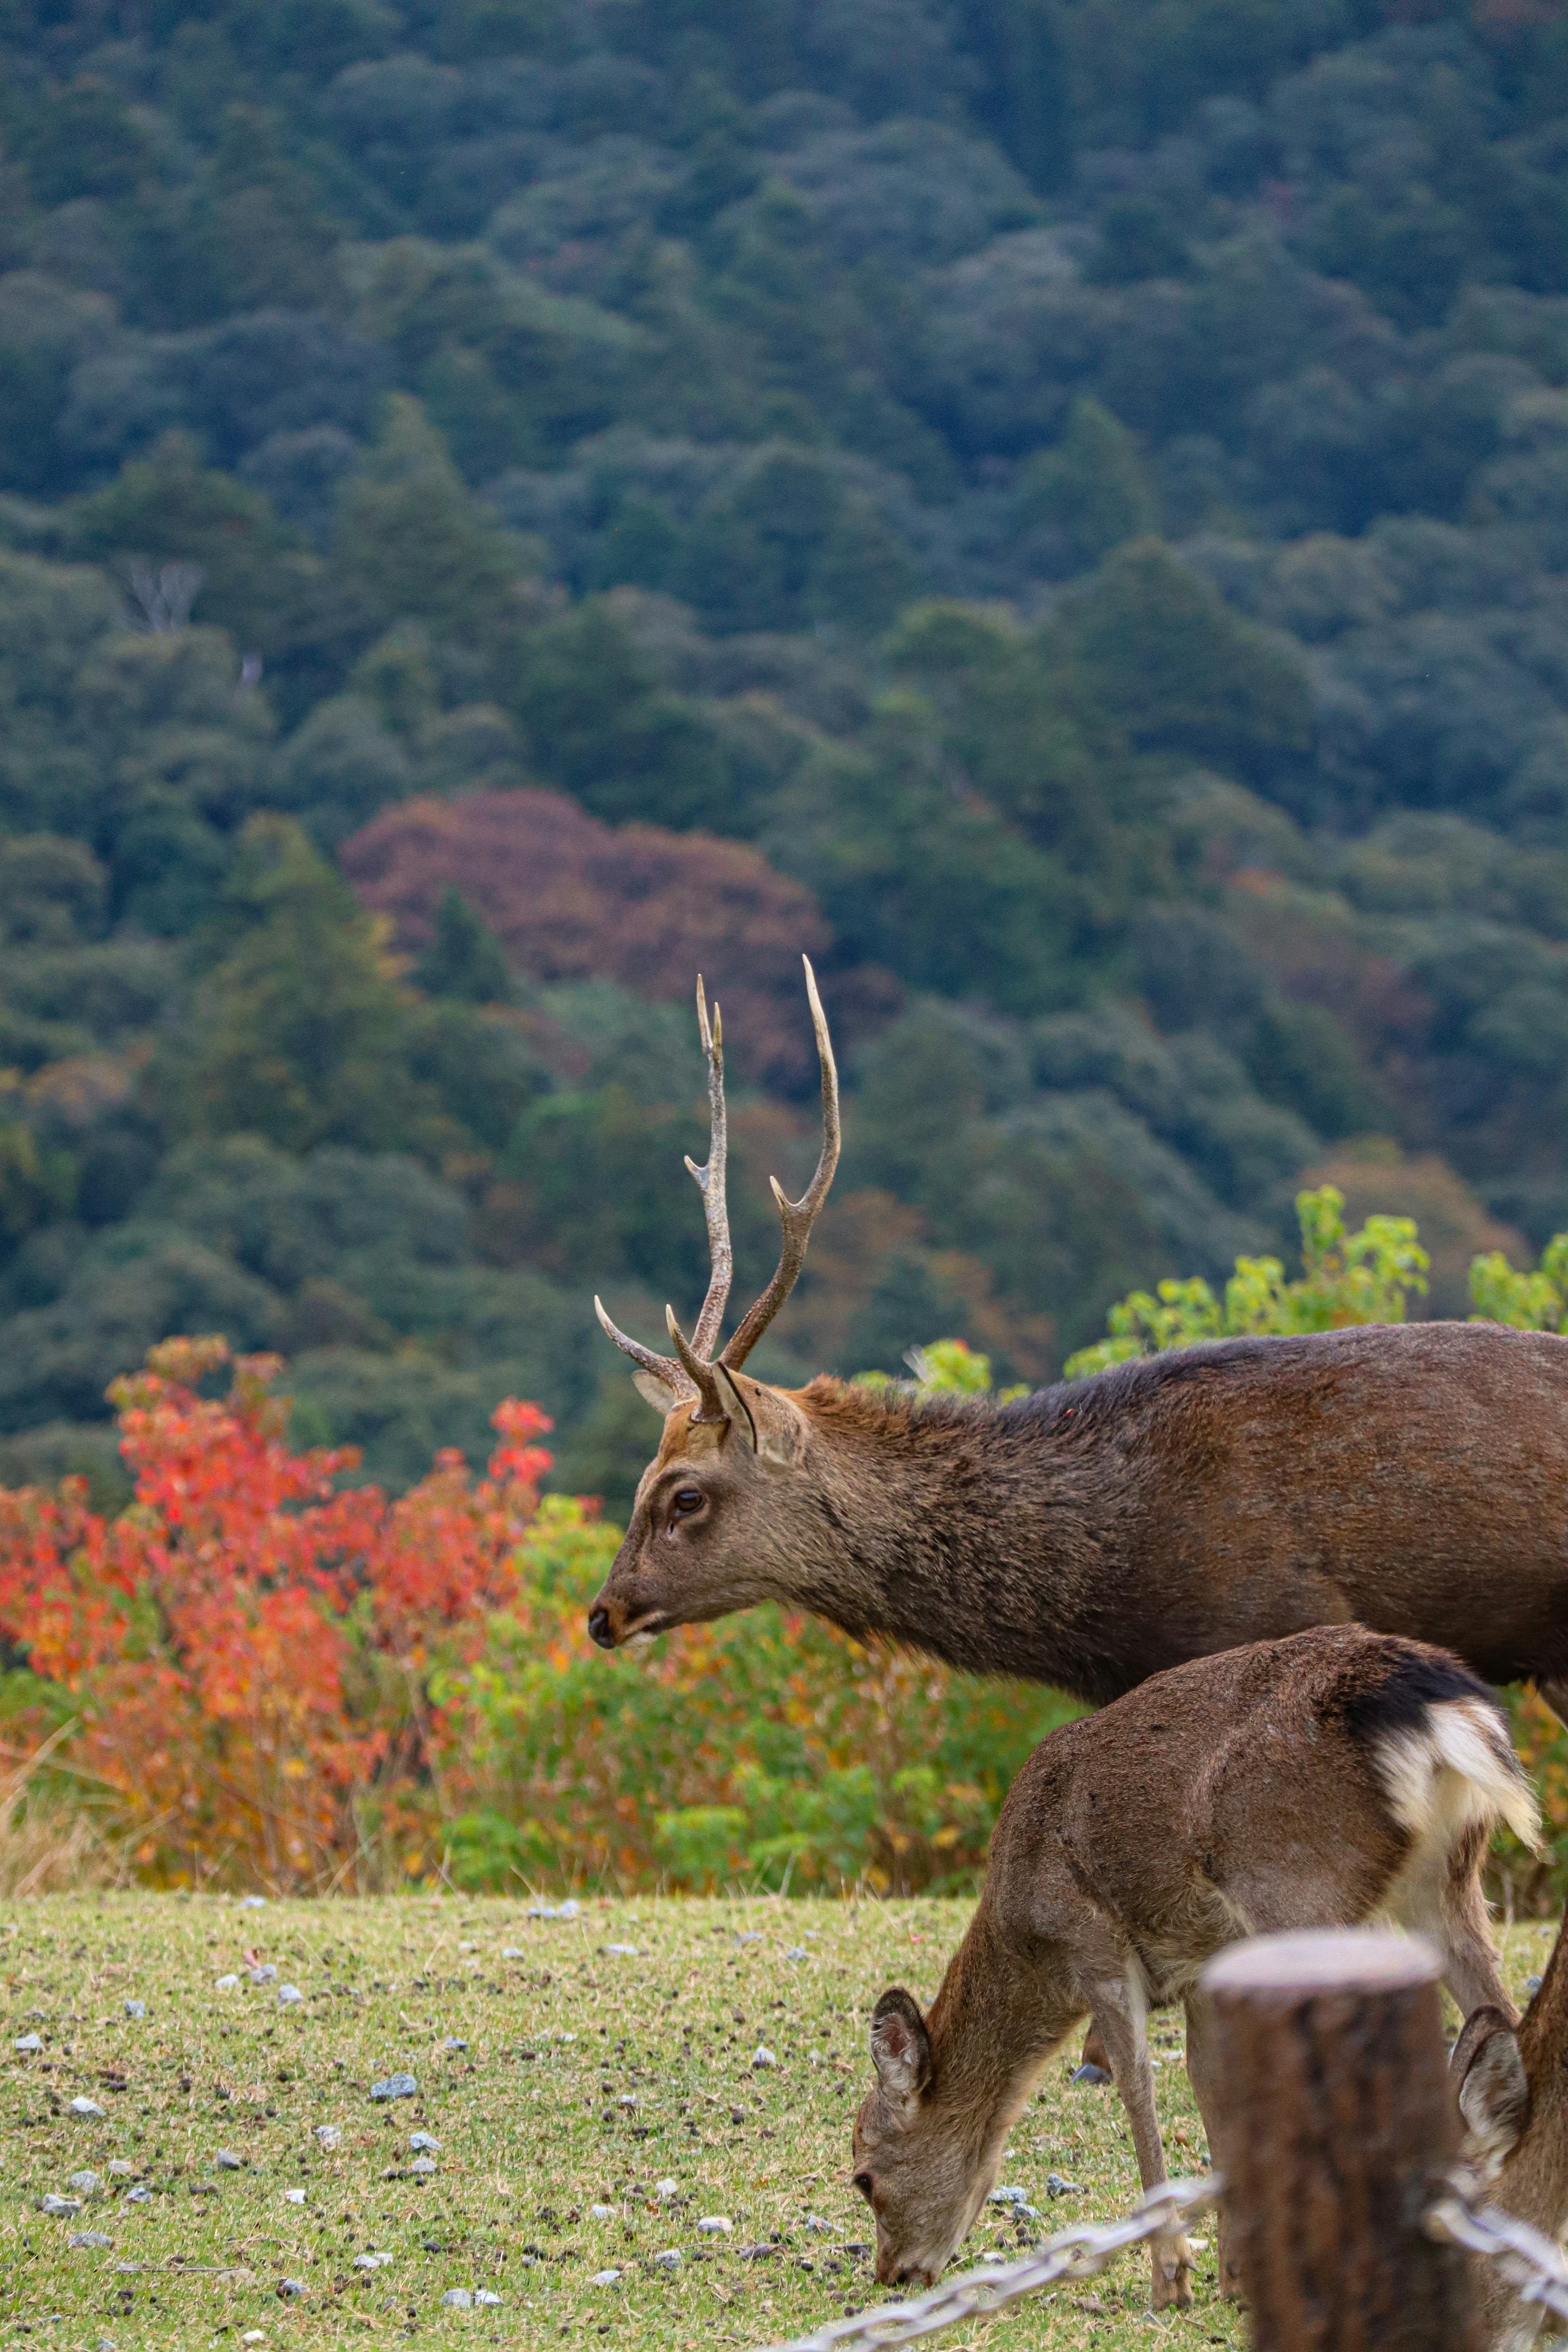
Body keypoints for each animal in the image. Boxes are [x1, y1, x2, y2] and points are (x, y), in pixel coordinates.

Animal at [851, 1627, 1542, 2305]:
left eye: (864, 2176)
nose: (892, 2273)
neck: (1028, 1945)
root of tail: (1442, 1708)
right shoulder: (1205, 1964)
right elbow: (1210, 2081)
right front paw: (1233, 2273)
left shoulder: (1093, 1943)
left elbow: (1137, 2084)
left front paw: (1171, 2276)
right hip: (1444, 1875)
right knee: (1500, 2012)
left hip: (1298, 1884)